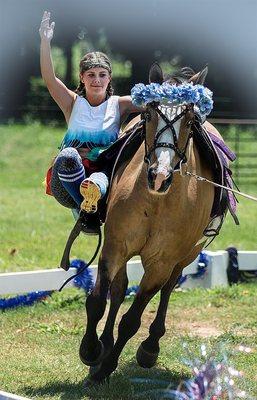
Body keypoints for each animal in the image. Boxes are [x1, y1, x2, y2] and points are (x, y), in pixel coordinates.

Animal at [79, 64, 214, 386]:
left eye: (189, 119)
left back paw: (150, 347)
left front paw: (106, 366)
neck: (156, 201)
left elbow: (132, 320)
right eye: (149, 114)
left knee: (169, 287)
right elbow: (98, 300)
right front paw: (91, 352)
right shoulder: (115, 246)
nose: (159, 175)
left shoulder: (161, 263)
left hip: (187, 254)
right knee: (118, 291)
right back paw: (104, 344)